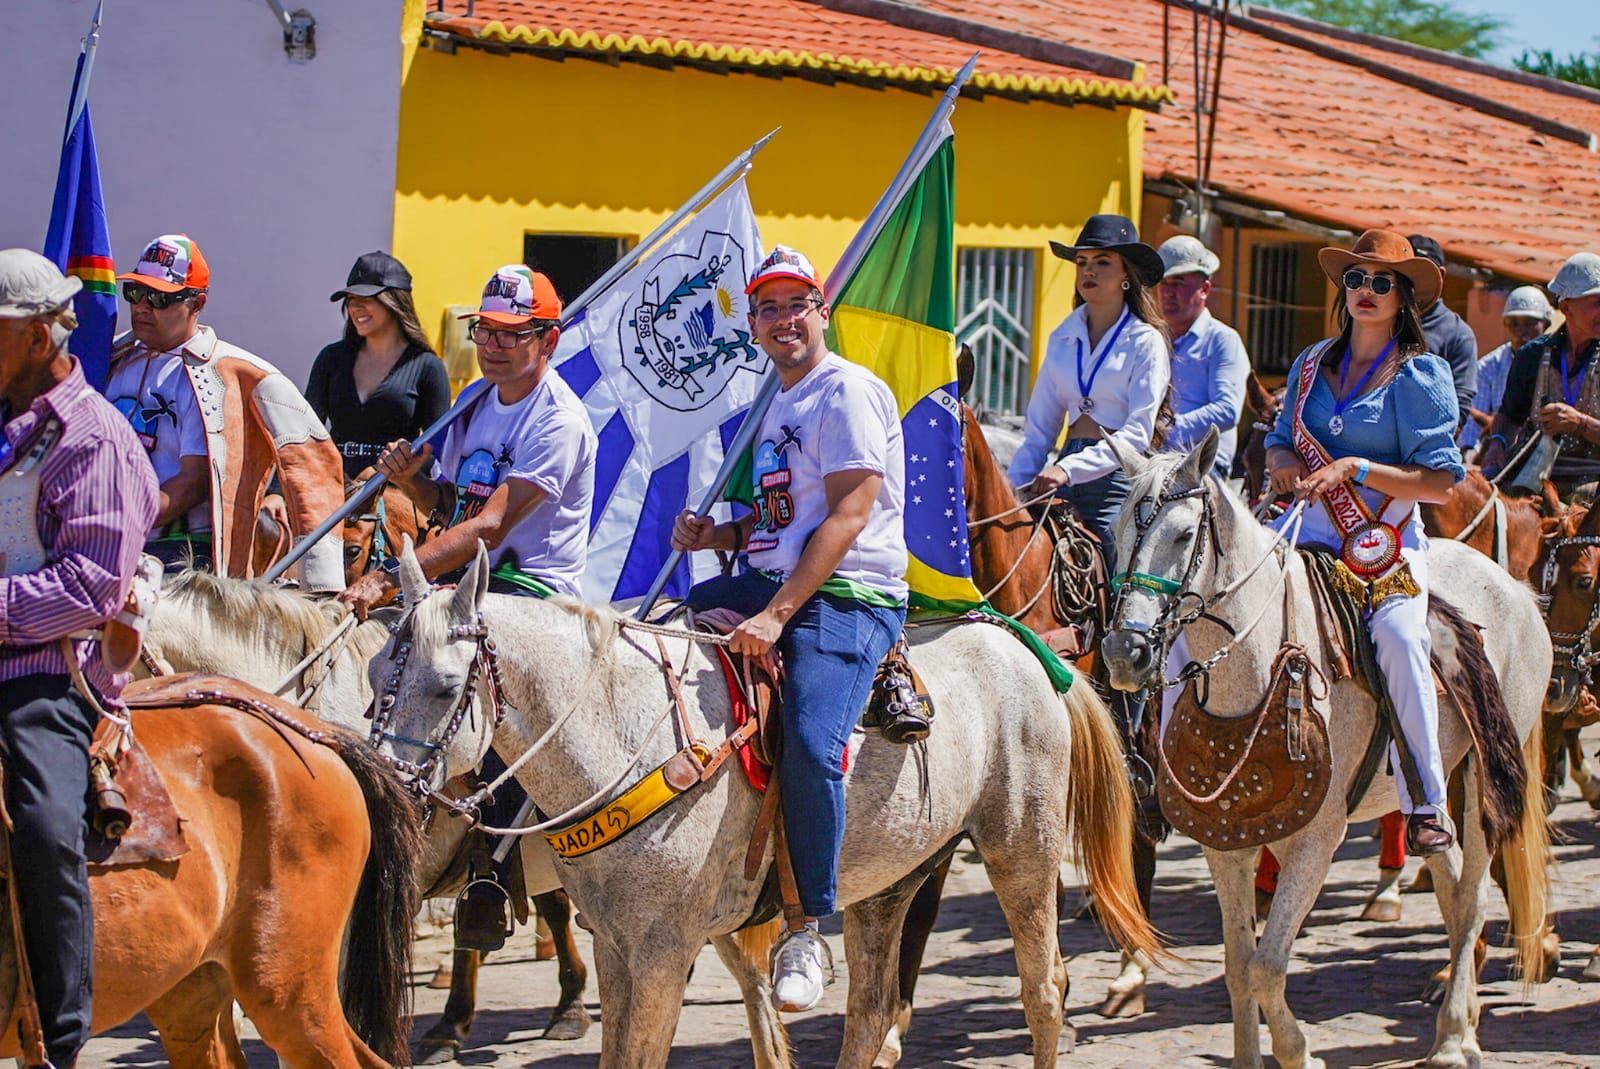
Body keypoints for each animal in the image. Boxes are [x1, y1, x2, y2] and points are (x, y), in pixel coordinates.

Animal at [1100, 432, 1548, 1069]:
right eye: (1115, 533)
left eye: (1185, 535)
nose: (1124, 652)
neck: (1259, 664)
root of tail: (1516, 588)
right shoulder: (1225, 846)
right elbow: (1238, 965)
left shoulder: (1316, 842)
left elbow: (1266, 967)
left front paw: (1301, 1053)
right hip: (1427, 794)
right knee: (1453, 887)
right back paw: (1460, 1027)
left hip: (1480, 783)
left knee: (1475, 894)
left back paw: (1452, 1038)